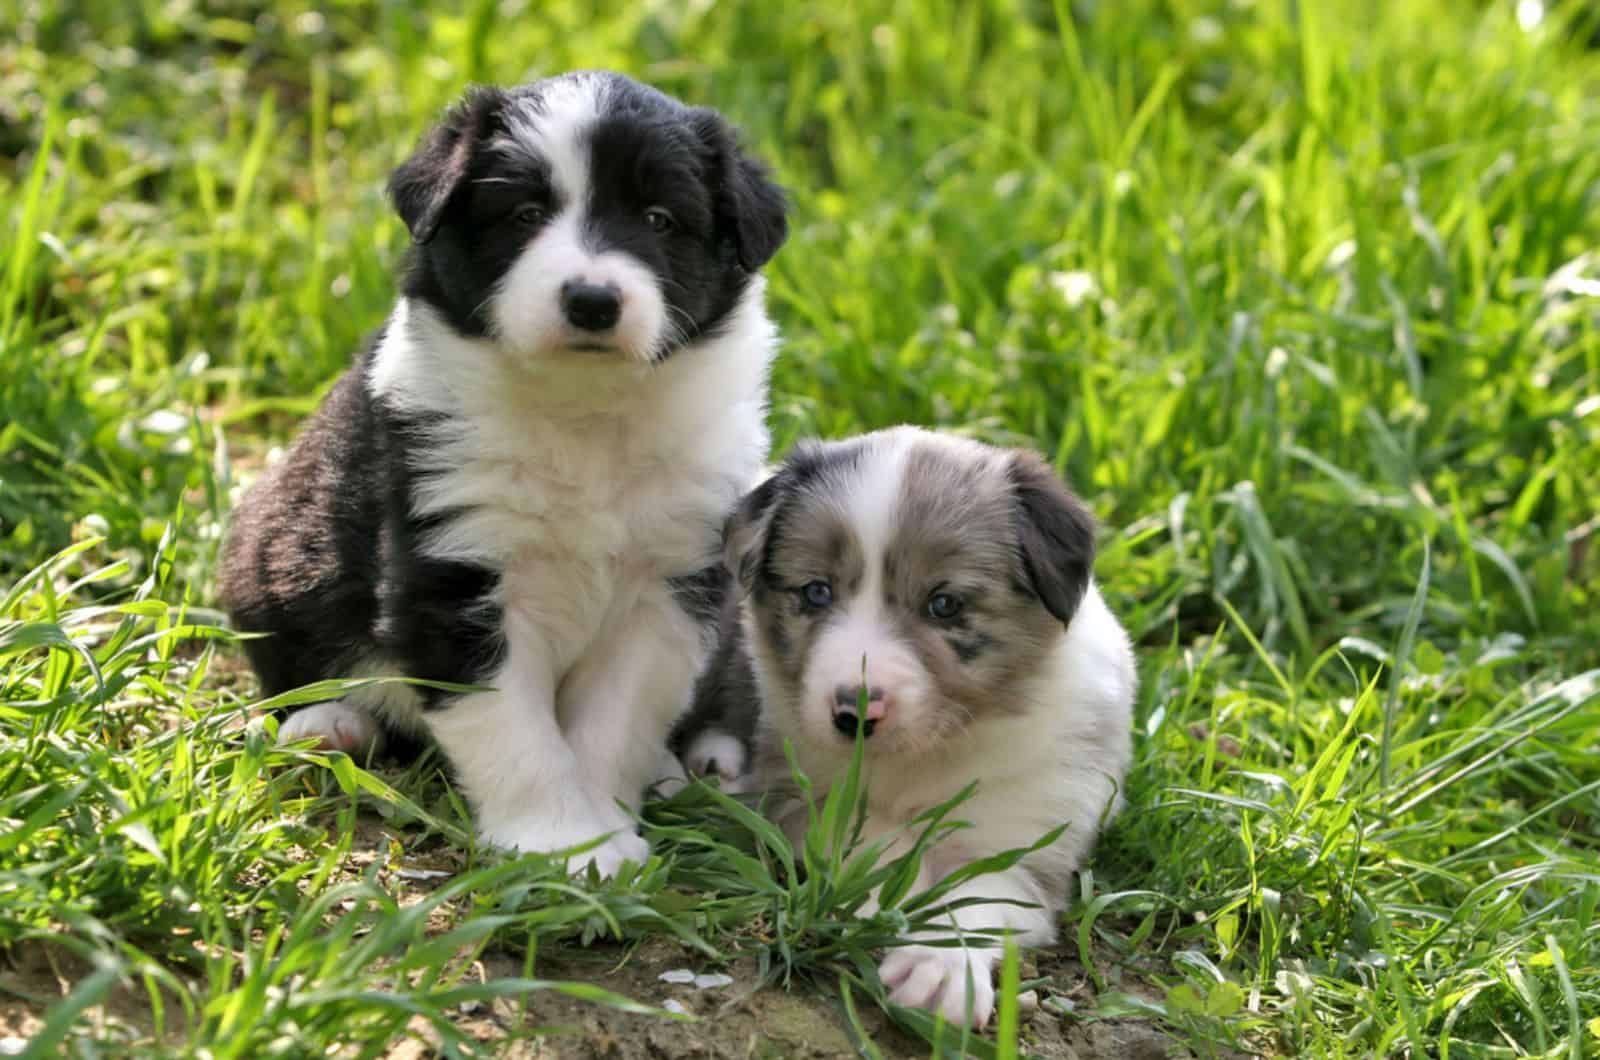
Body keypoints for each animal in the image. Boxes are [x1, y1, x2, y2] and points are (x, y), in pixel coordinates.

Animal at [216, 72, 790, 877]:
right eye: (523, 215)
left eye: (658, 219)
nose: (592, 300)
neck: (583, 414)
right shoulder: (455, 572)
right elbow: (512, 728)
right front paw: (561, 840)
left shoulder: (670, 585)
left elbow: (614, 721)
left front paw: (601, 832)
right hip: (268, 556)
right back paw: (330, 724)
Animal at [675, 429, 1139, 1031]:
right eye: (816, 592)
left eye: (944, 604)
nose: (854, 714)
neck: (928, 754)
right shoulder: (812, 798)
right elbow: (881, 853)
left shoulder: (1029, 835)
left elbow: (978, 892)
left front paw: (940, 966)